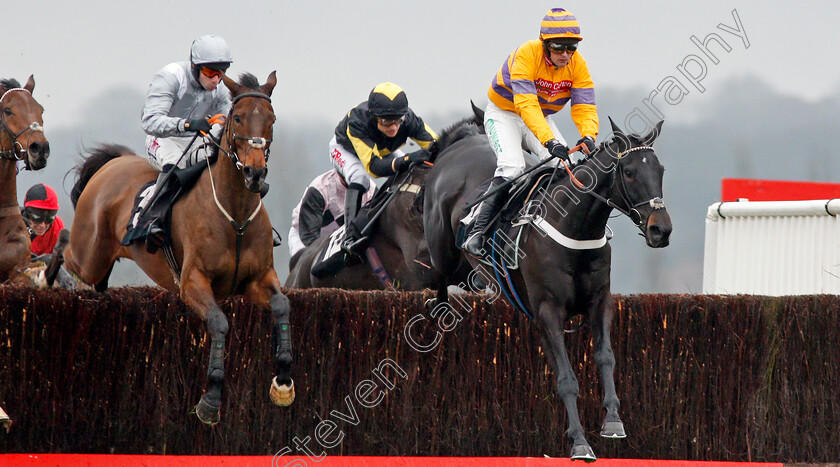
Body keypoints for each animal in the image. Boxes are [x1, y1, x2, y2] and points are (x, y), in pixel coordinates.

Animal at [62, 71, 294, 426]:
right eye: (239, 117)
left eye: (271, 119)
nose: (255, 173)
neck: (236, 215)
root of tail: (113, 163)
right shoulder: (192, 281)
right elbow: (219, 323)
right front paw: (210, 400)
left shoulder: (258, 278)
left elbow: (282, 306)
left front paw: (282, 381)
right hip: (90, 253)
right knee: (66, 257)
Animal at [424, 119, 672, 462]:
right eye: (630, 171)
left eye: (660, 170)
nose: (661, 230)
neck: (575, 228)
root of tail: (458, 144)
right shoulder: (548, 310)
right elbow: (566, 378)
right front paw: (580, 442)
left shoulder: (599, 303)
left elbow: (605, 357)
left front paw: (612, 420)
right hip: (443, 251)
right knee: (439, 283)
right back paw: (440, 316)